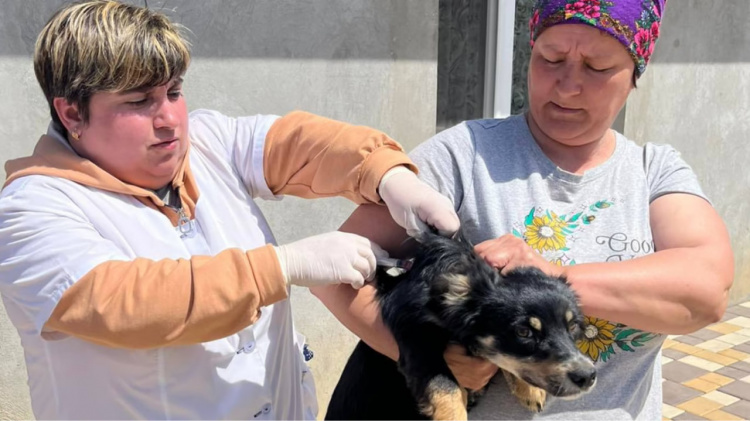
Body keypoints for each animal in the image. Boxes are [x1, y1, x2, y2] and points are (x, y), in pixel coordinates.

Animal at [326, 231, 596, 418]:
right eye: (524, 332)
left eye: (572, 326)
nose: (588, 376)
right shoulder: (414, 335)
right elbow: (446, 385)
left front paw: (528, 389)